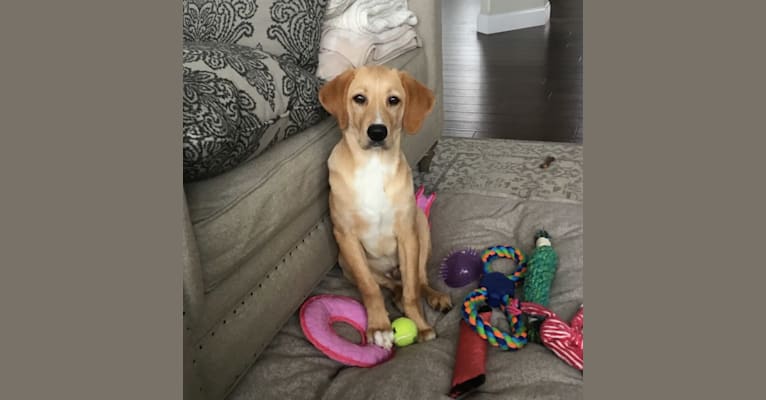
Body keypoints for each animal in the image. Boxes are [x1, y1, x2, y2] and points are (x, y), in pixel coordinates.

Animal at [320, 67, 452, 348]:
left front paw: (421, 325)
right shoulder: (345, 236)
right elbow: (370, 288)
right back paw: (396, 297)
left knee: (417, 279)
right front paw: (379, 326)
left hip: (420, 228)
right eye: (359, 99)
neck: (374, 166)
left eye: (394, 100)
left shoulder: (407, 233)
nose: (378, 132)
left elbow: (413, 289)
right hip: (344, 261)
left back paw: (433, 296)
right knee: (389, 285)